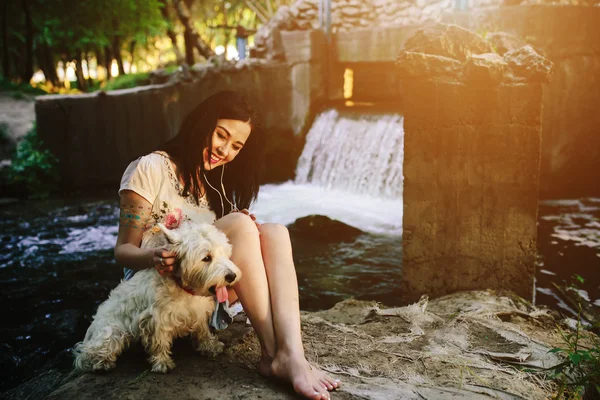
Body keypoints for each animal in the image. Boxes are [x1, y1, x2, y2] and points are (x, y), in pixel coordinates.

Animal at [74, 223, 241, 374]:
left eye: (224, 253)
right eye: (206, 258)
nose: (232, 276)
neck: (184, 288)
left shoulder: (198, 312)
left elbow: (203, 330)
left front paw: (210, 346)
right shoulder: (156, 318)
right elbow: (159, 341)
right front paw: (162, 363)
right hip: (111, 331)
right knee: (88, 353)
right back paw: (101, 363)